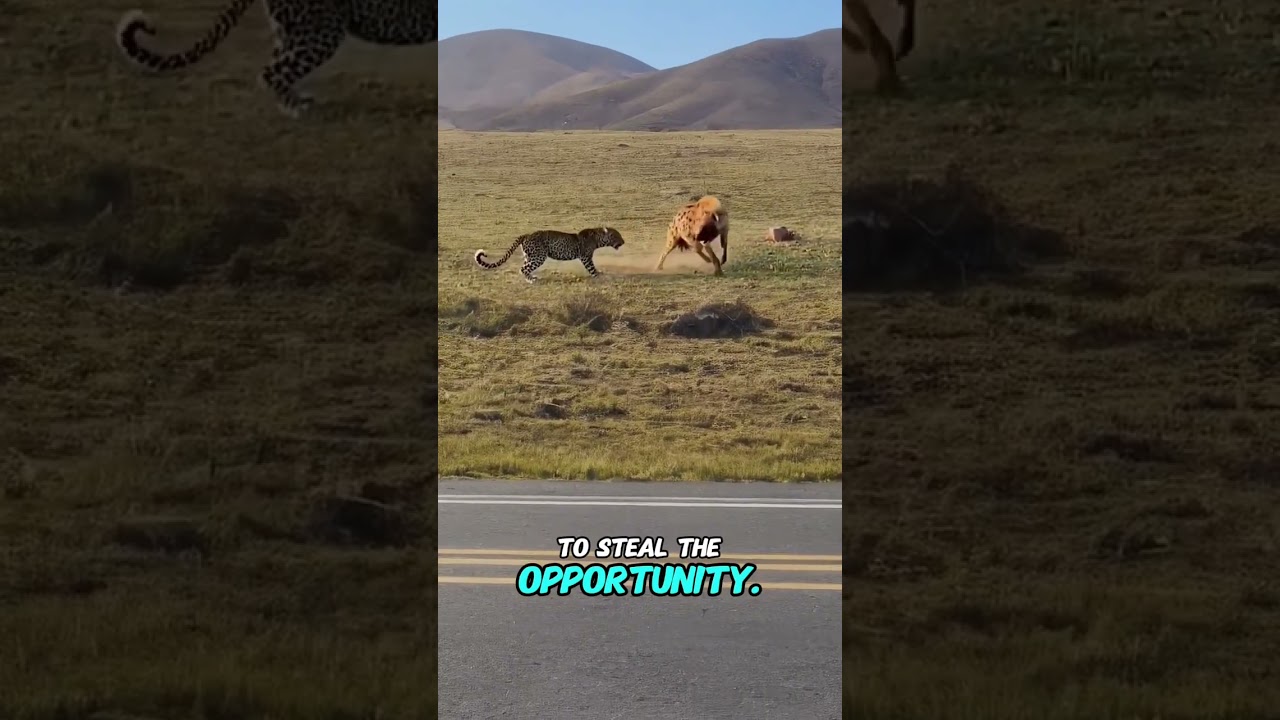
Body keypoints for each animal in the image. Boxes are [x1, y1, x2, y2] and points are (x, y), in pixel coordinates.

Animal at [114, 0, 438, 118]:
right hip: (321, 31)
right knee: (271, 72)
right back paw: (298, 110)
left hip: (291, 30)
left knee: (276, 69)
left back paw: (296, 101)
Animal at [474, 227, 625, 284]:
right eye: (617, 235)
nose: (623, 241)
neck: (598, 239)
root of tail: (527, 235)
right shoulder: (586, 257)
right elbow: (592, 268)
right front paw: (599, 277)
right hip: (539, 256)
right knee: (523, 269)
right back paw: (531, 280)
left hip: (530, 256)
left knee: (524, 267)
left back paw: (532, 277)